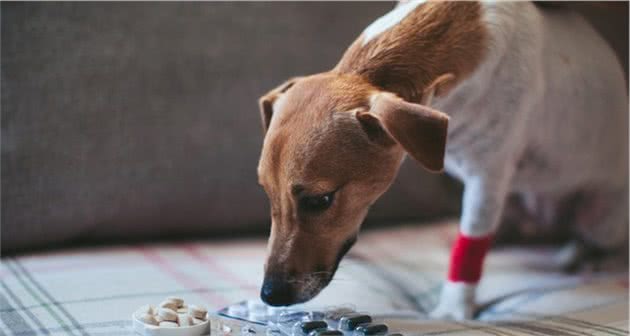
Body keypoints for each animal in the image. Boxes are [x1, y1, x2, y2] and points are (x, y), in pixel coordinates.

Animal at [254, 1, 628, 318]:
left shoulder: (486, 179)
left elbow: (471, 244)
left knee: (590, 237)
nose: (269, 295)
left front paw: (453, 309)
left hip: (601, 215)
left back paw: (585, 256)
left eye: (321, 200)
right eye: (267, 194)